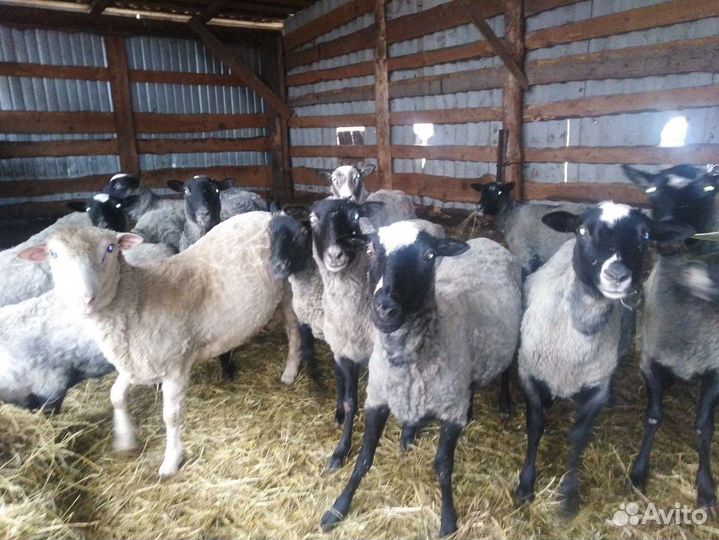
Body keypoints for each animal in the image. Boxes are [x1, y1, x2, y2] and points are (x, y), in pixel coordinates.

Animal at [16, 212, 300, 479]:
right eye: (53, 254)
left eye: (110, 249)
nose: (85, 298)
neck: (140, 298)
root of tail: (268, 214)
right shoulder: (136, 361)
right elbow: (116, 396)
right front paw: (125, 440)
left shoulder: (175, 367)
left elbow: (170, 417)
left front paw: (171, 461)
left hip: (289, 293)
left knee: (295, 332)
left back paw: (289, 371)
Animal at [320, 220, 522, 537]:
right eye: (371, 249)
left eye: (429, 256)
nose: (385, 307)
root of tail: (487, 241)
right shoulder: (378, 399)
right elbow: (364, 458)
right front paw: (338, 508)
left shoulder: (450, 412)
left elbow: (443, 466)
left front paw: (449, 520)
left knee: (507, 369)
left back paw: (504, 403)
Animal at [515, 202, 693, 516]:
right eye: (583, 231)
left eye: (646, 235)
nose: (617, 273)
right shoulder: (528, 372)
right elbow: (535, 426)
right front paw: (526, 486)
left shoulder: (597, 385)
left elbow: (579, 435)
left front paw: (569, 496)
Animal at [622, 164, 719, 508]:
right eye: (652, 191)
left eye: (708, 189)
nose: (662, 236)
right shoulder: (650, 362)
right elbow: (653, 417)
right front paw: (638, 472)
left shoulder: (716, 372)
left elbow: (704, 427)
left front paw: (706, 487)